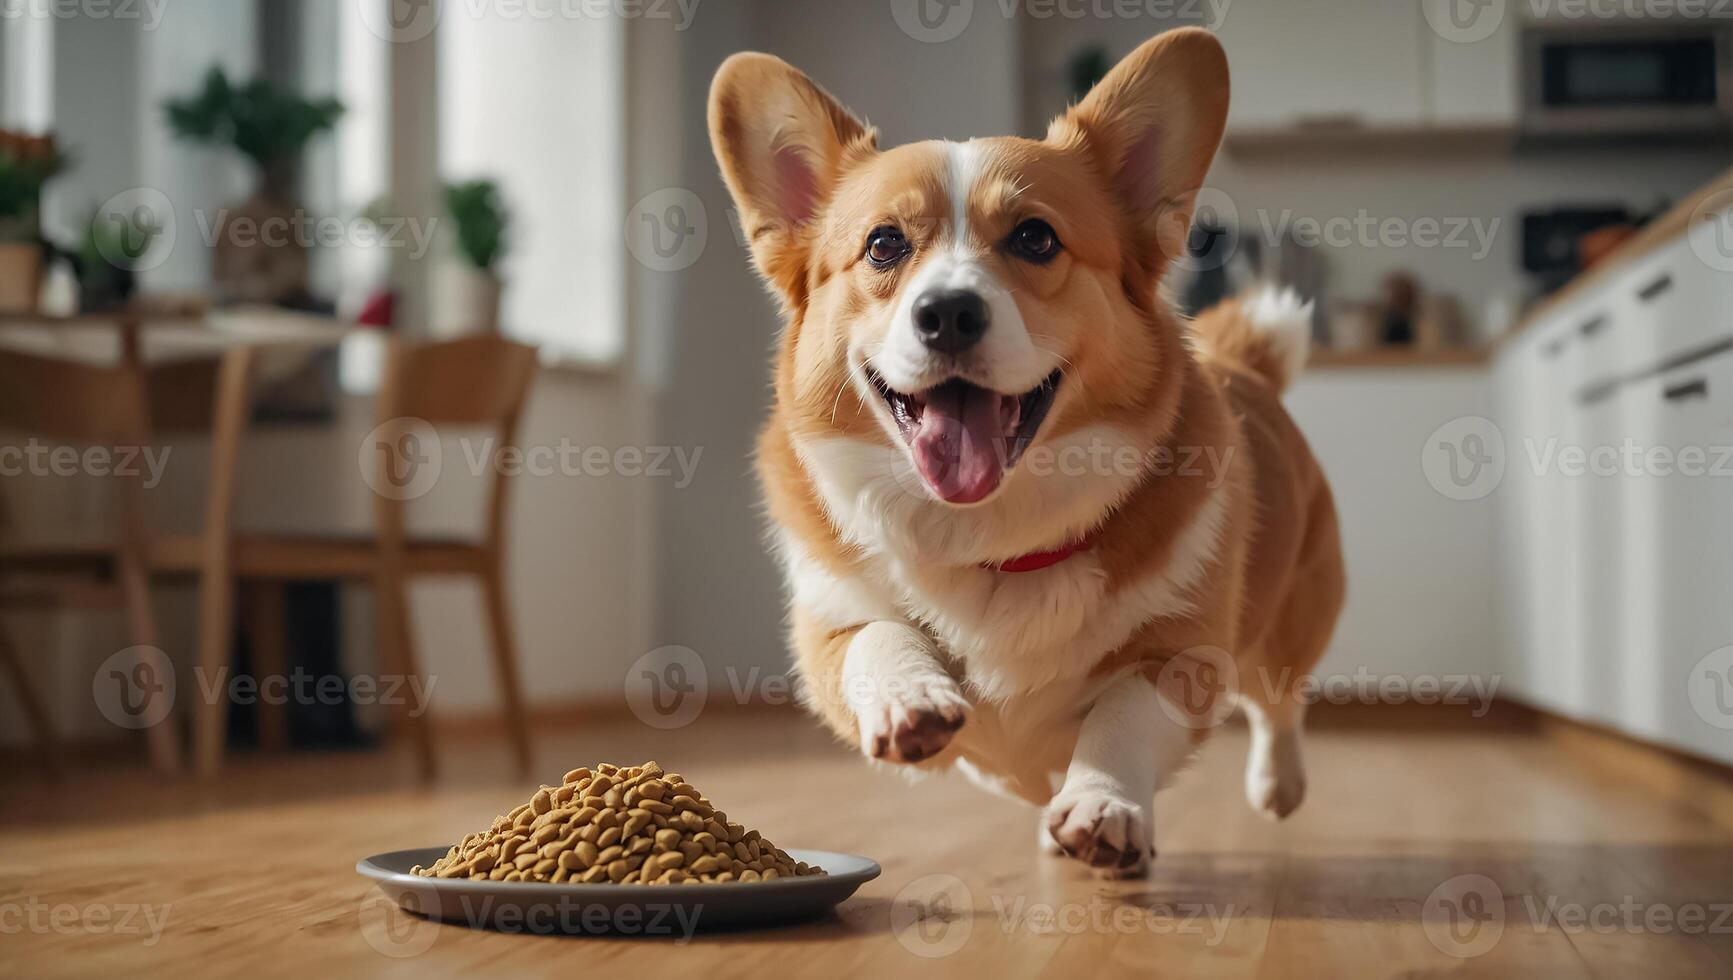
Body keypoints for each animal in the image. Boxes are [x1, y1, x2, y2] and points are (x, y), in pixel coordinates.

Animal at [703, 28, 1337, 870]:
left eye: (1034, 238)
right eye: (883, 245)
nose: (946, 314)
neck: (990, 538)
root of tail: (1245, 362)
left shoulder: (1183, 659)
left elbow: (1122, 713)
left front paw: (1103, 804)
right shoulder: (828, 626)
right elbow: (878, 634)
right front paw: (912, 696)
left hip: (1293, 616)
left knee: (1280, 702)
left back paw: (1278, 784)